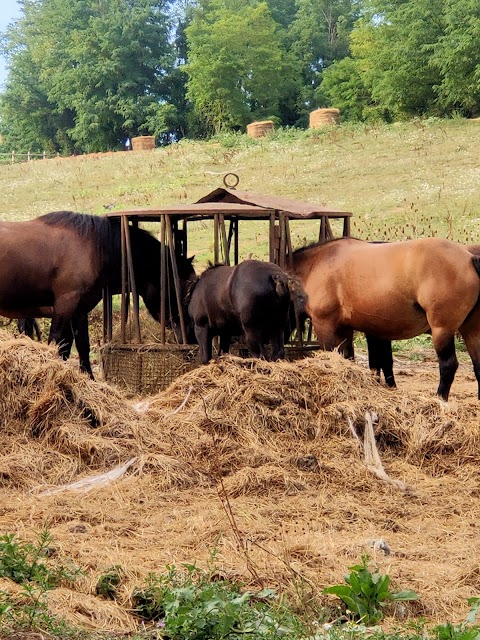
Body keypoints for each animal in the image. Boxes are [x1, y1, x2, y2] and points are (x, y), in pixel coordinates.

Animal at [0, 212, 195, 378]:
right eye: (183, 287)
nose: (190, 336)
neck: (94, 248)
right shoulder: (65, 303)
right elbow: (55, 342)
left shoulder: (79, 309)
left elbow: (79, 346)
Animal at [290, 239, 480, 400]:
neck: (316, 264)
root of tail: (469, 258)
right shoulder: (356, 330)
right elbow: (365, 360)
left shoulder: (325, 326)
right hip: (471, 331)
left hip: (442, 330)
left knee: (448, 365)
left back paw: (440, 399)